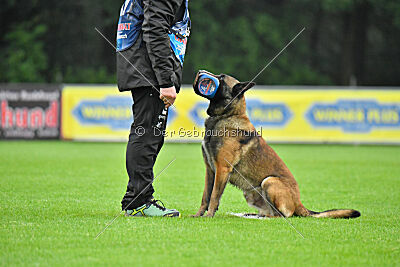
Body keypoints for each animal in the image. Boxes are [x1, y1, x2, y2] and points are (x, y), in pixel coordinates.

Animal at [191, 70, 360, 219]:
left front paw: (209, 216)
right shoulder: (210, 170)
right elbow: (205, 196)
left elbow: (214, 196)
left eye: (221, 77)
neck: (226, 116)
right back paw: (254, 215)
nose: (199, 72)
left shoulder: (222, 169)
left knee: (283, 215)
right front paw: (199, 215)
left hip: (269, 181)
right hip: (250, 192)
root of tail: (298, 203)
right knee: (271, 212)